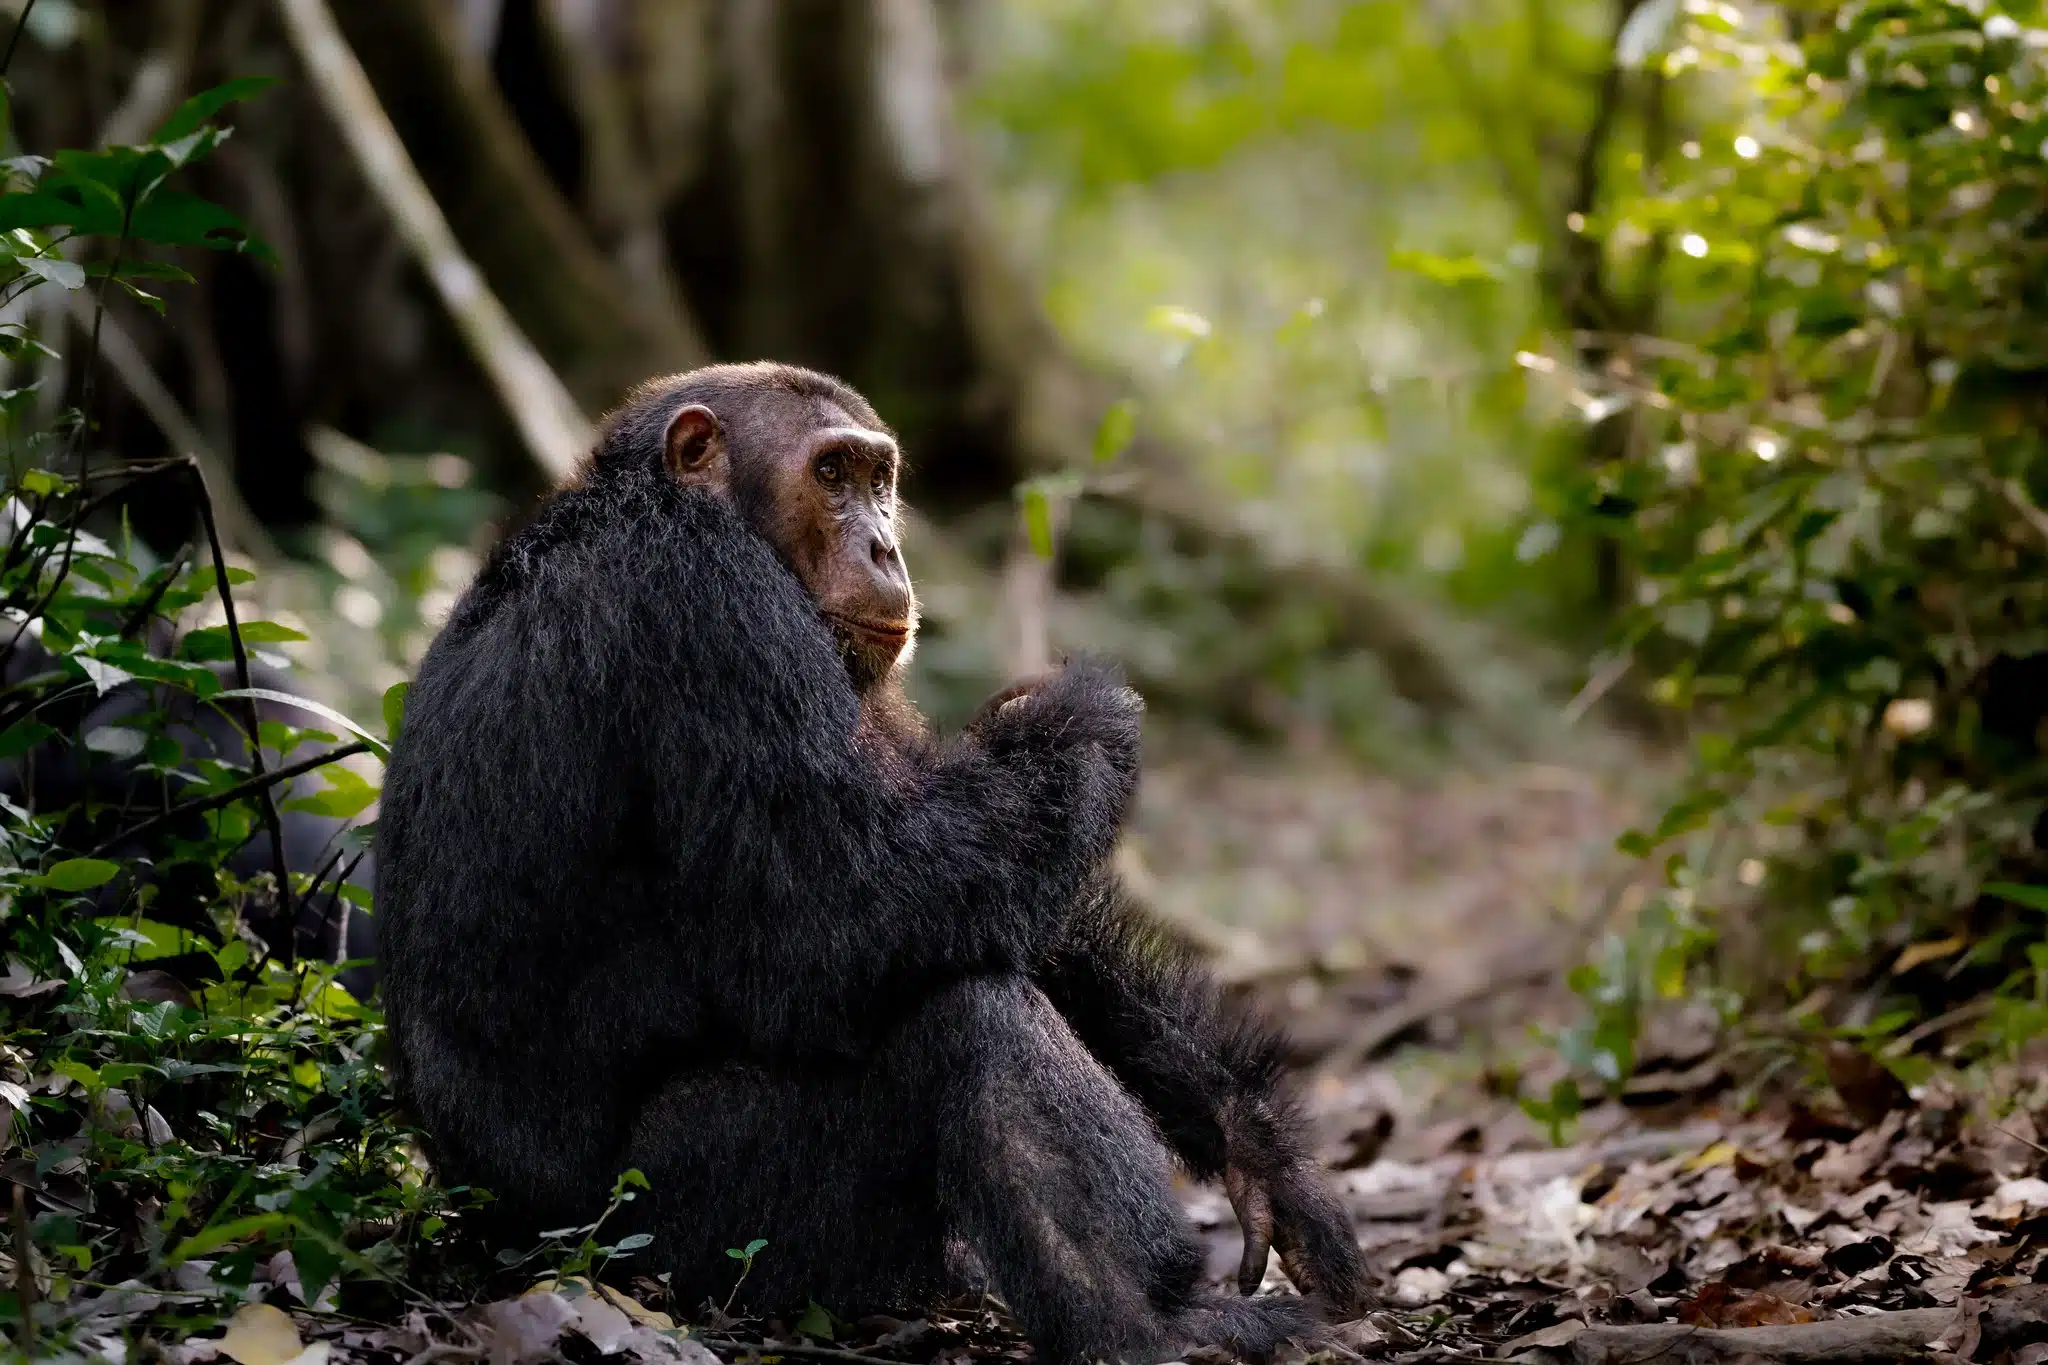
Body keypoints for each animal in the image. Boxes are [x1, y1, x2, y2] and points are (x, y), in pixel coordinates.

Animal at [380, 366, 1376, 1365]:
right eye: (830, 474)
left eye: (878, 479)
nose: (886, 544)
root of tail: (496, 1240)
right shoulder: (710, 607)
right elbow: (843, 920)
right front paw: (1079, 710)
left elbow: (982, 892)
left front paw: (1261, 1150)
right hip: (686, 1228)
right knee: (964, 1021)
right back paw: (1154, 1322)